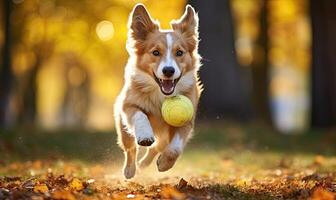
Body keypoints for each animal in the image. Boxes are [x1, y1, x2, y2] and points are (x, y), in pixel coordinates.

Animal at [114, 3, 201, 179]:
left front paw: (165, 163)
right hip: (123, 129)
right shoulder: (128, 105)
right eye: (155, 52)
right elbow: (140, 116)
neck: (161, 95)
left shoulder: (187, 121)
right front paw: (145, 135)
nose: (168, 70)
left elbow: (175, 147)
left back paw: (144, 164)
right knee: (131, 148)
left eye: (179, 52)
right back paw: (130, 170)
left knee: (157, 147)